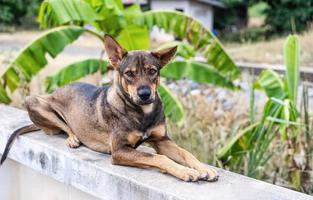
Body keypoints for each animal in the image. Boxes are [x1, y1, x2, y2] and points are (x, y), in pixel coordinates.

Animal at [0, 34, 218, 183]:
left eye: (152, 71)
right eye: (129, 73)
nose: (145, 94)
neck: (142, 112)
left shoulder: (162, 140)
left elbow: (185, 153)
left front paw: (202, 168)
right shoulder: (120, 151)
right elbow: (159, 157)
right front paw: (186, 171)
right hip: (34, 101)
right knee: (64, 126)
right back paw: (72, 138)